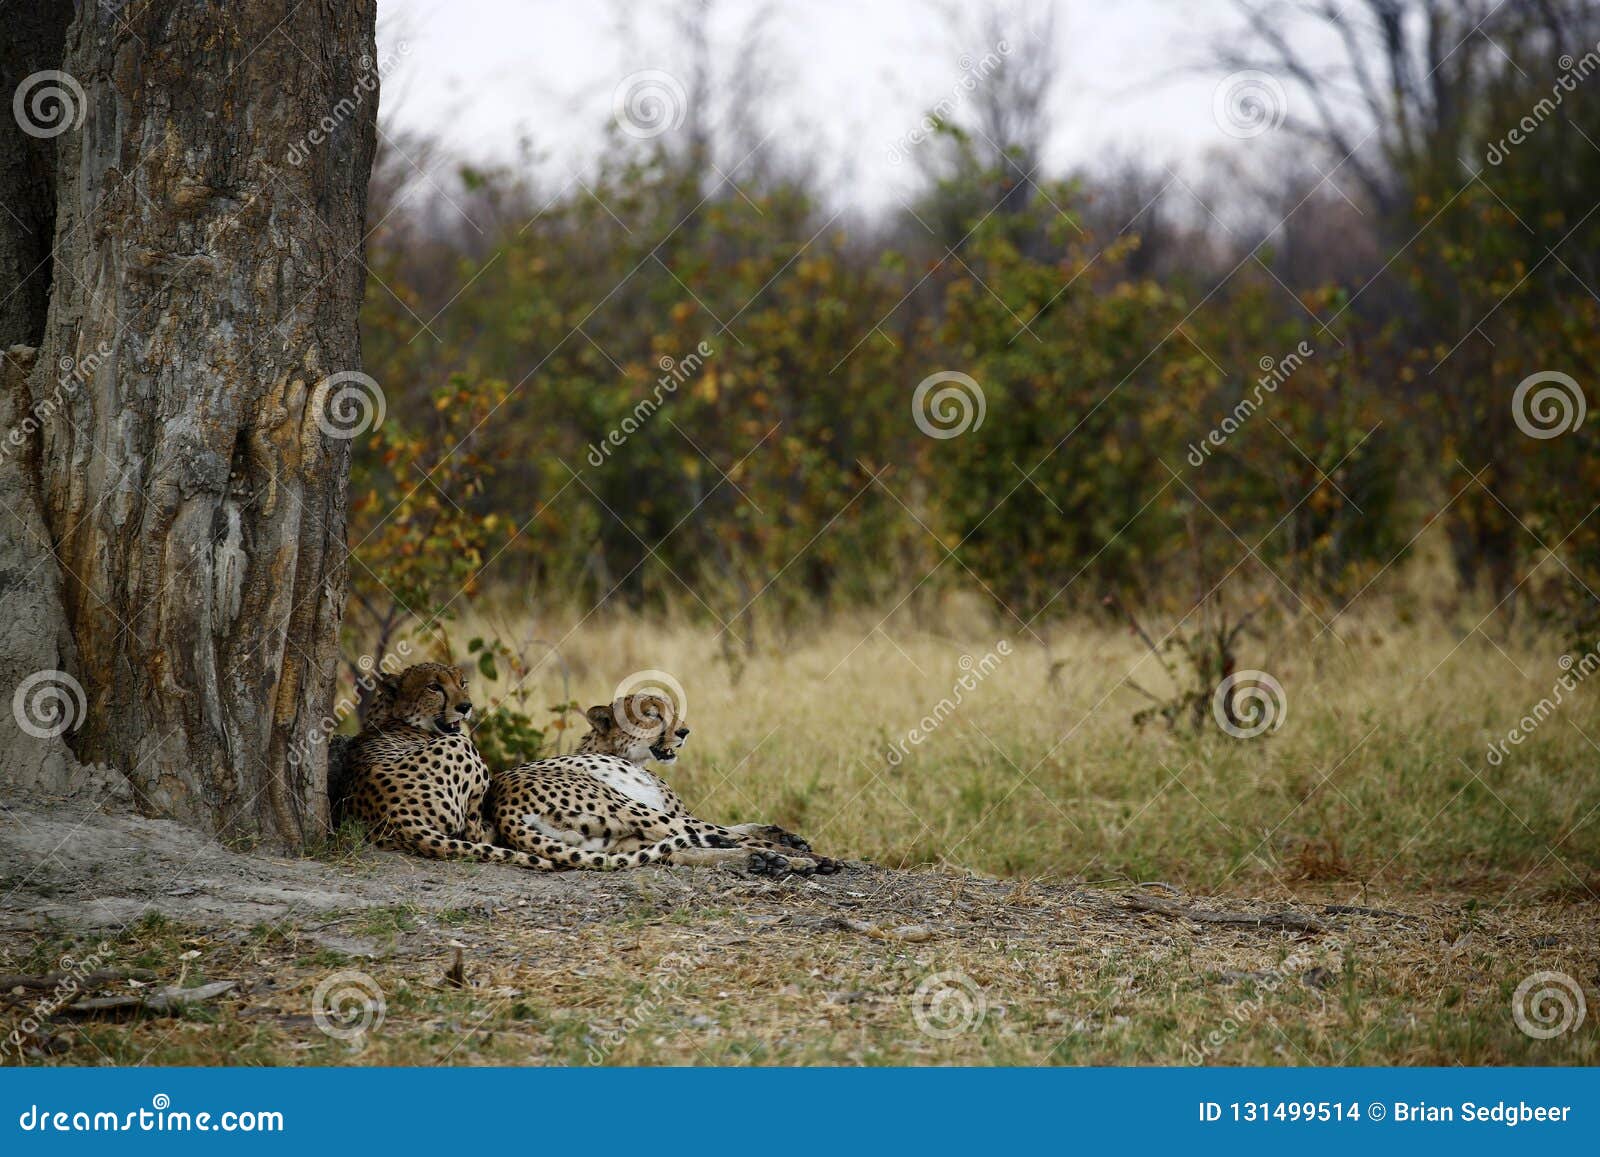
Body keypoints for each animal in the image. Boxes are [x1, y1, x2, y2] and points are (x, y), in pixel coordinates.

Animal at [483, 691, 838, 870]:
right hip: (629, 808)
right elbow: (729, 829)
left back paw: (768, 859)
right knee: (705, 841)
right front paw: (792, 845)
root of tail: (502, 807)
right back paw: (801, 860)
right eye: (653, 714)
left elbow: (735, 827)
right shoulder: (672, 812)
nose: (684, 731)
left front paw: (783, 833)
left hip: (616, 839)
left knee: (680, 850)